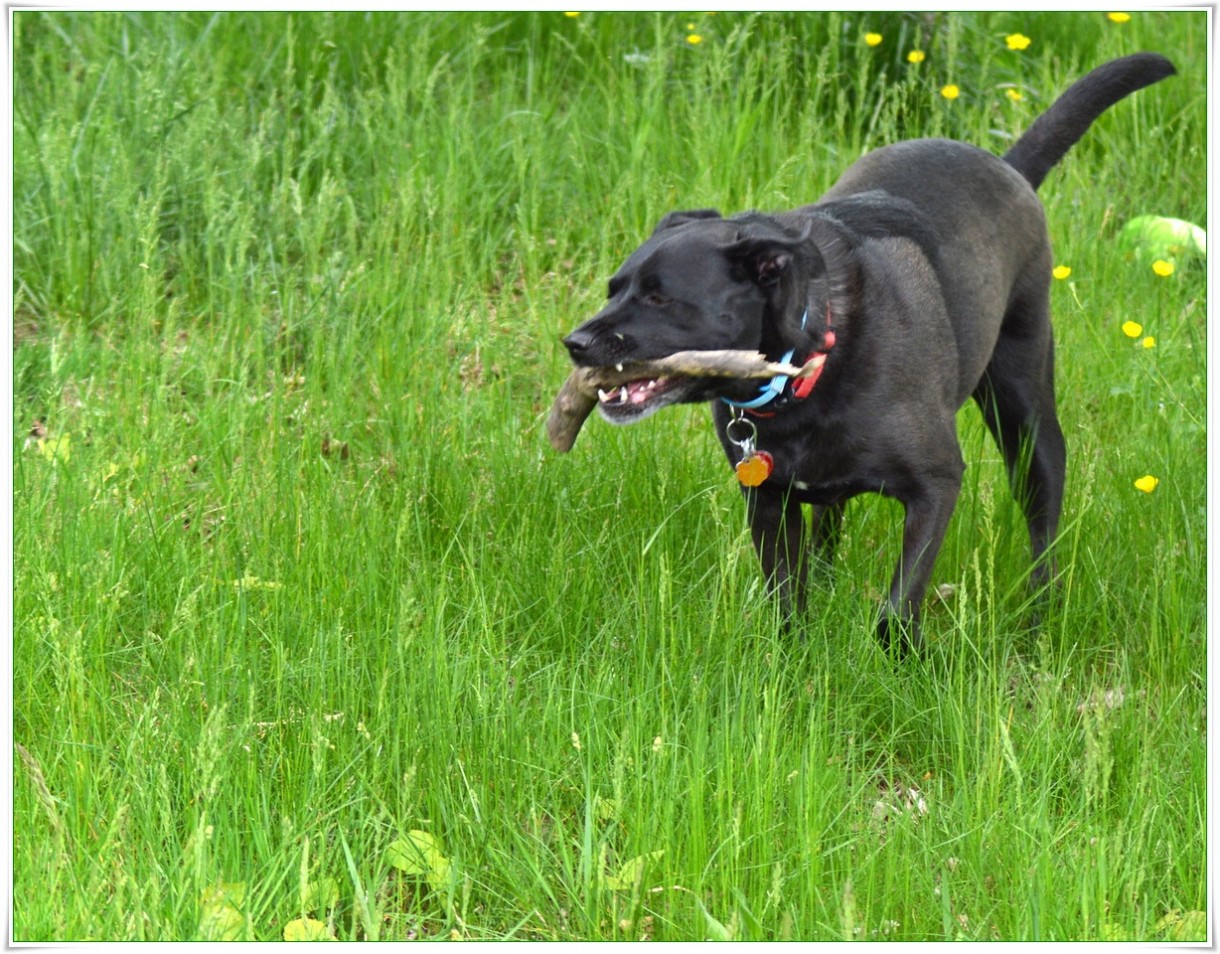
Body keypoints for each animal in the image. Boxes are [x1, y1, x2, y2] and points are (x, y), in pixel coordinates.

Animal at [558, 56, 1171, 653]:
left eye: (659, 297)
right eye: (614, 288)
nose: (575, 343)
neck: (808, 370)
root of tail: (1007, 166)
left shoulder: (936, 486)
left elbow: (895, 609)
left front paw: (909, 658)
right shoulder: (770, 501)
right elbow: (787, 603)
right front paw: (794, 663)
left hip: (1025, 414)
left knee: (1043, 525)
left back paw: (1037, 619)